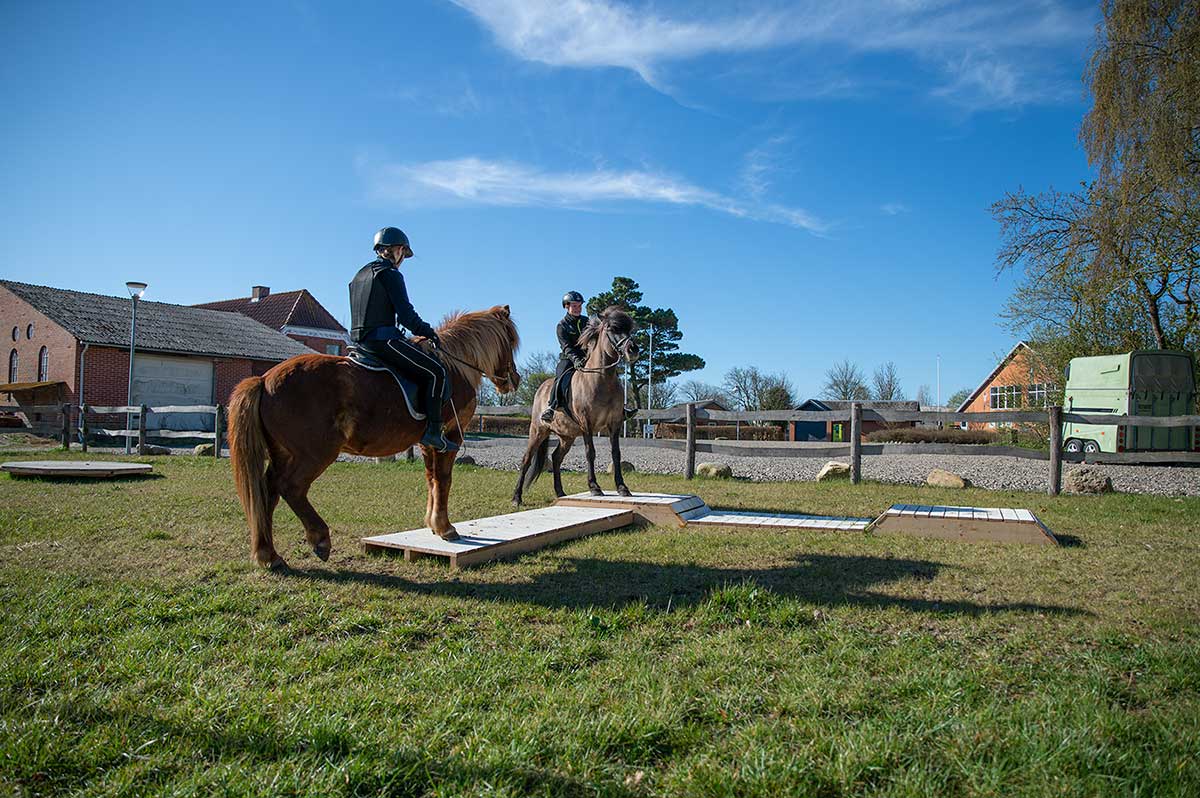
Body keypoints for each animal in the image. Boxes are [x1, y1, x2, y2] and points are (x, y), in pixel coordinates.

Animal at [229, 303, 520, 566]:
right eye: (511, 340)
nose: (514, 379)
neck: (455, 367)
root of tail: (264, 379)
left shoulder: (428, 442)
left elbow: (431, 480)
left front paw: (432, 524)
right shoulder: (449, 438)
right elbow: (444, 480)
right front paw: (445, 528)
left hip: (282, 453)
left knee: (268, 491)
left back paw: (269, 555)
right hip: (314, 453)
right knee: (291, 487)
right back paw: (319, 539)